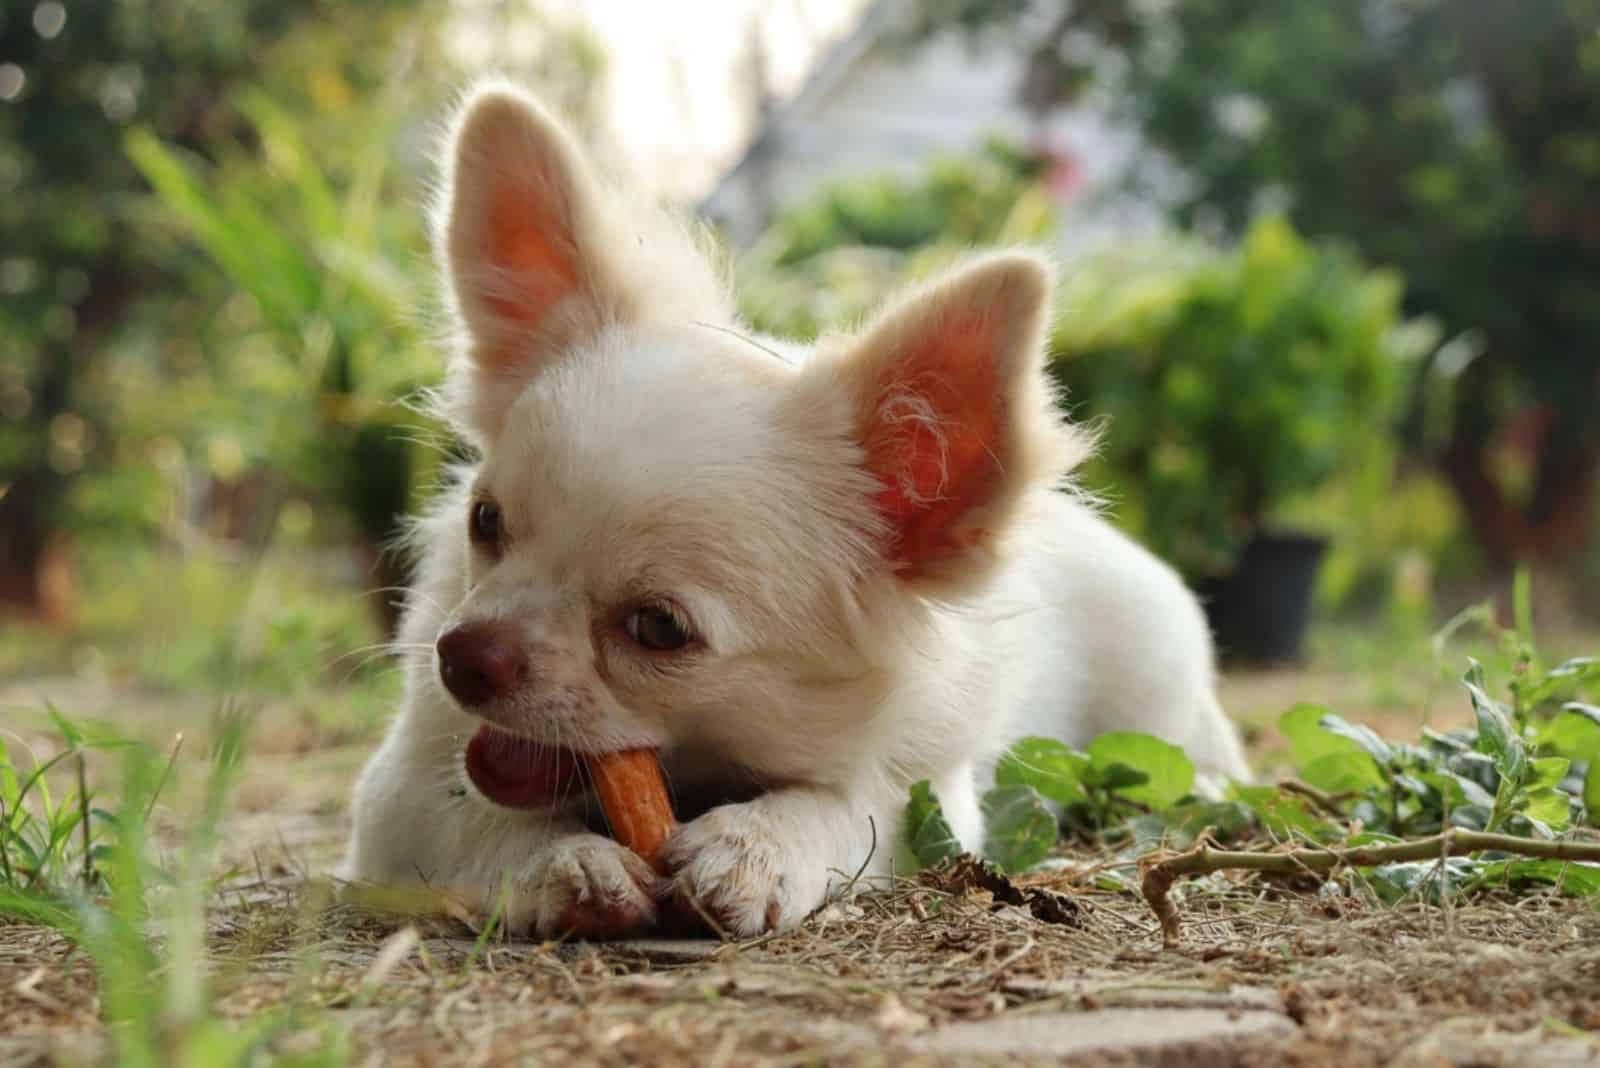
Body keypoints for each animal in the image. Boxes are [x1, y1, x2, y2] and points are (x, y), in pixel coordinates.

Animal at [344, 81, 1254, 933]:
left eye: (659, 628)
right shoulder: (400, 792)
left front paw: (759, 847)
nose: (464, 654)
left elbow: (848, 806)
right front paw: (562, 863)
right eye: (486, 523)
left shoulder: (928, 797)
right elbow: (468, 816)